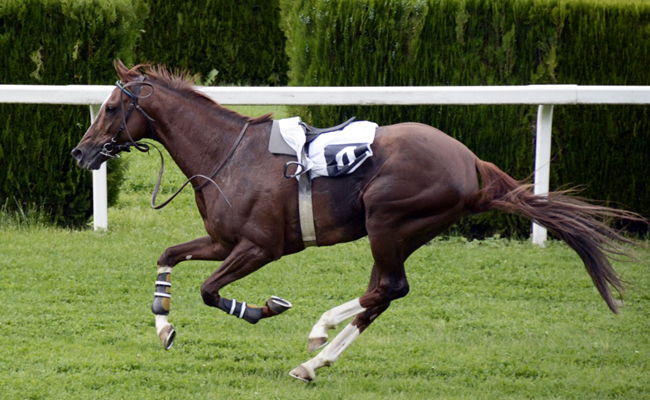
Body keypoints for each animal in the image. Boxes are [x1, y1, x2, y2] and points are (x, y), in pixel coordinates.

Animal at [72, 59, 644, 382]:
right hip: (399, 231)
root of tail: (471, 163)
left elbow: (211, 291)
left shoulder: (260, 246)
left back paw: (317, 335)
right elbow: (168, 256)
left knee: (387, 288)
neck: (226, 155)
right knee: (382, 294)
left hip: (389, 221)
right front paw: (164, 326)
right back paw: (314, 359)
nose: (81, 152)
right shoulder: (222, 239)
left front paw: (263, 308)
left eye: (110, 107)